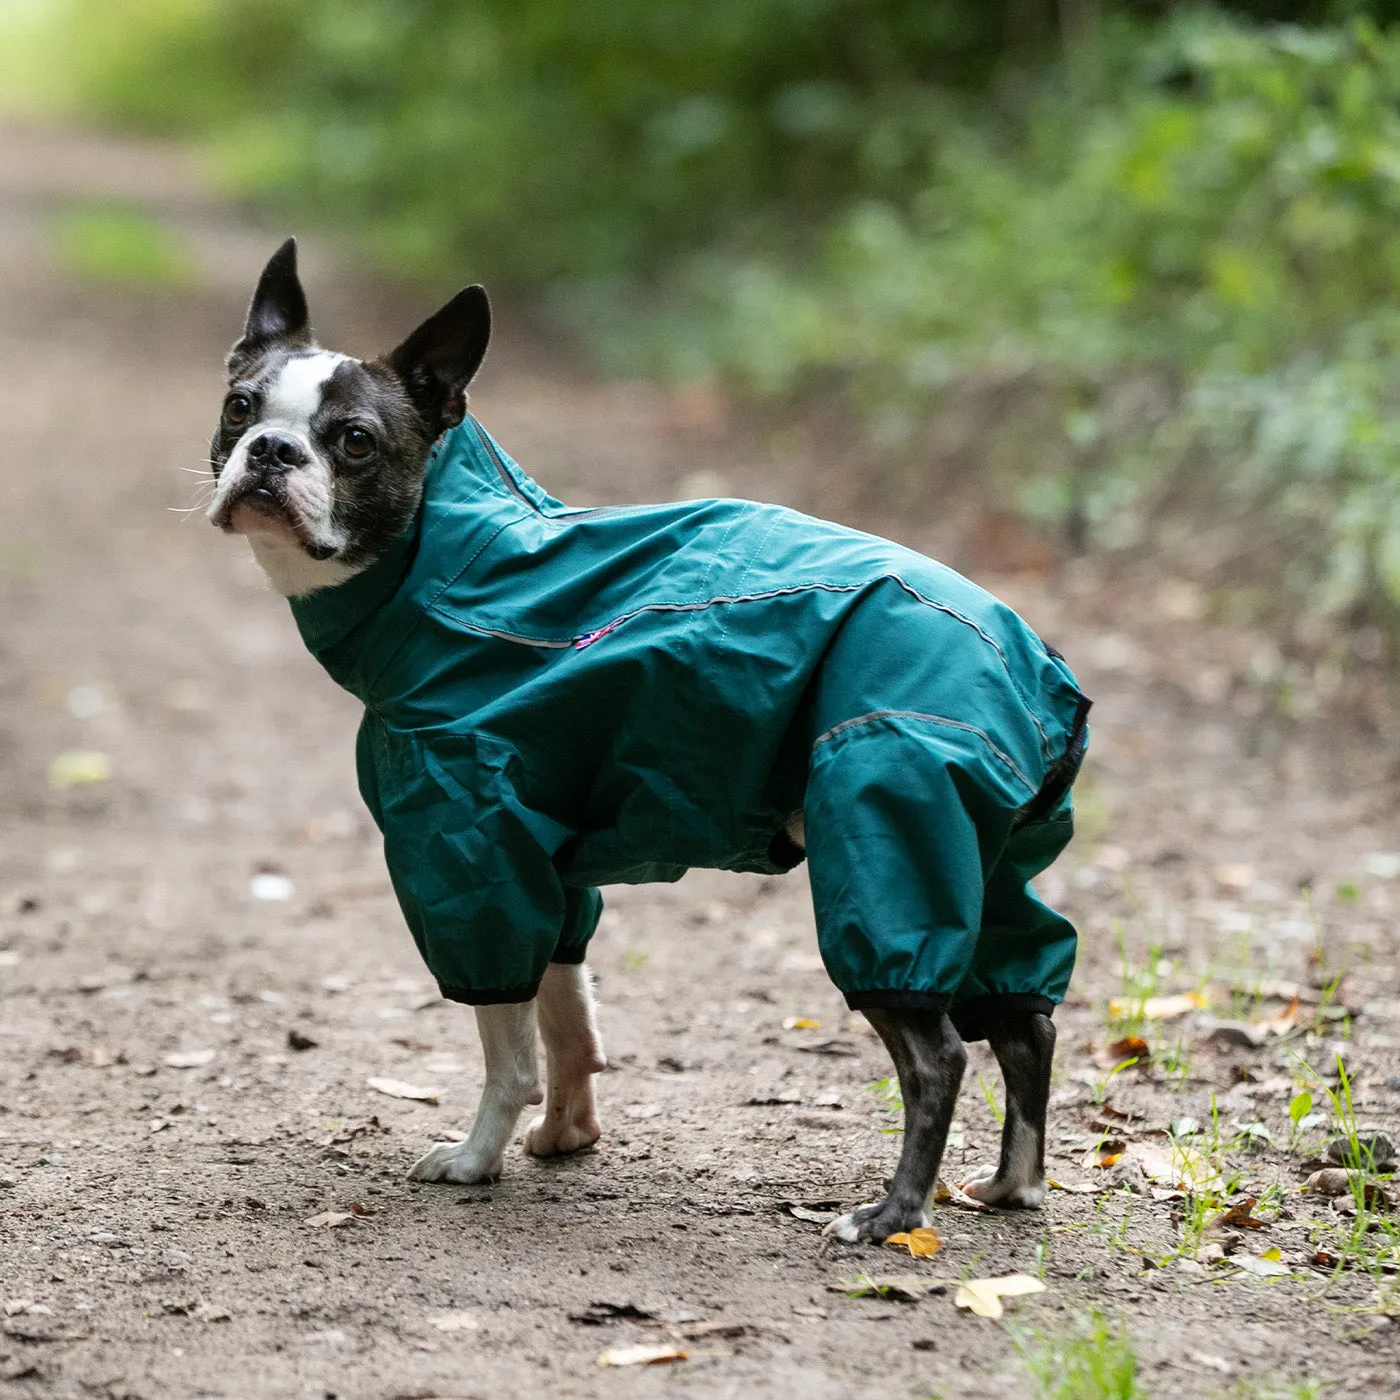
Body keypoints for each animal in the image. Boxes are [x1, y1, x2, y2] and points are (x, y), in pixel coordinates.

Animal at [204, 243, 1058, 1248]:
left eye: (355, 441)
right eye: (240, 407)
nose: (271, 451)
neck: (451, 567)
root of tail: (1024, 658)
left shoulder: (470, 852)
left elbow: (509, 1045)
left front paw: (478, 1158)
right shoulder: (550, 866)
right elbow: (568, 1016)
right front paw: (566, 1137)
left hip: (891, 845)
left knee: (938, 1058)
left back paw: (890, 1215)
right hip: (989, 868)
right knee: (1026, 1022)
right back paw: (1011, 1186)